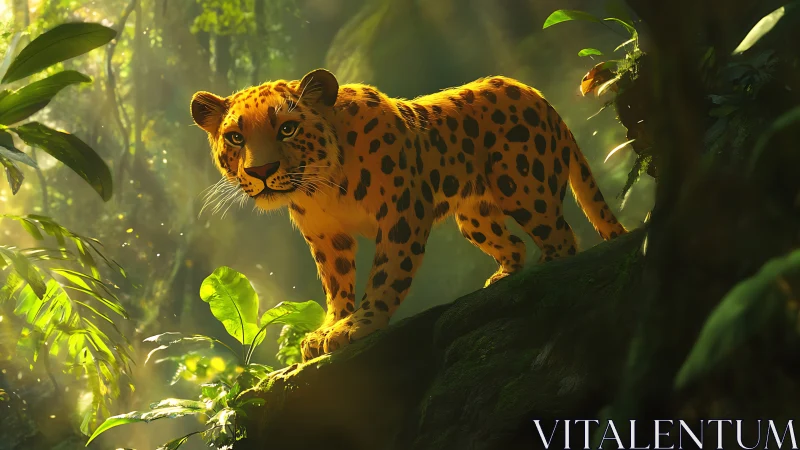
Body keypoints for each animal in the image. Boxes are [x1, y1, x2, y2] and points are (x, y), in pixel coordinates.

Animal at [190, 68, 627, 362]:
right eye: (236, 137)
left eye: (287, 129)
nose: (260, 171)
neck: (322, 184)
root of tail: (538, 95)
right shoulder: (326, 238)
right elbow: (336, 284)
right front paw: (328, 328)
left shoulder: (402, 212)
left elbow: (386, 274)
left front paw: (358, 325)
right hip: (475, 218)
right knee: (514, 242)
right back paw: (503, 277)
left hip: (523, 186)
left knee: (560, 235)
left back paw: (544, 269)